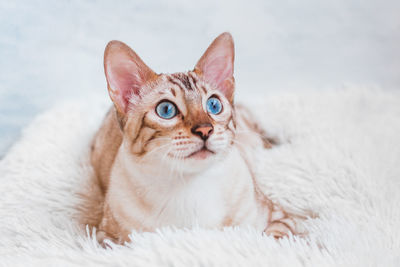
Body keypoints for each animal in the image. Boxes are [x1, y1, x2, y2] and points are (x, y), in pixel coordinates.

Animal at [89, 32, 298, 246]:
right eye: (166, 110)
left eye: (214, 105)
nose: (205, 130)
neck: (190, 188)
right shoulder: (108, 239)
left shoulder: (280, 218)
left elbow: (272, 240)